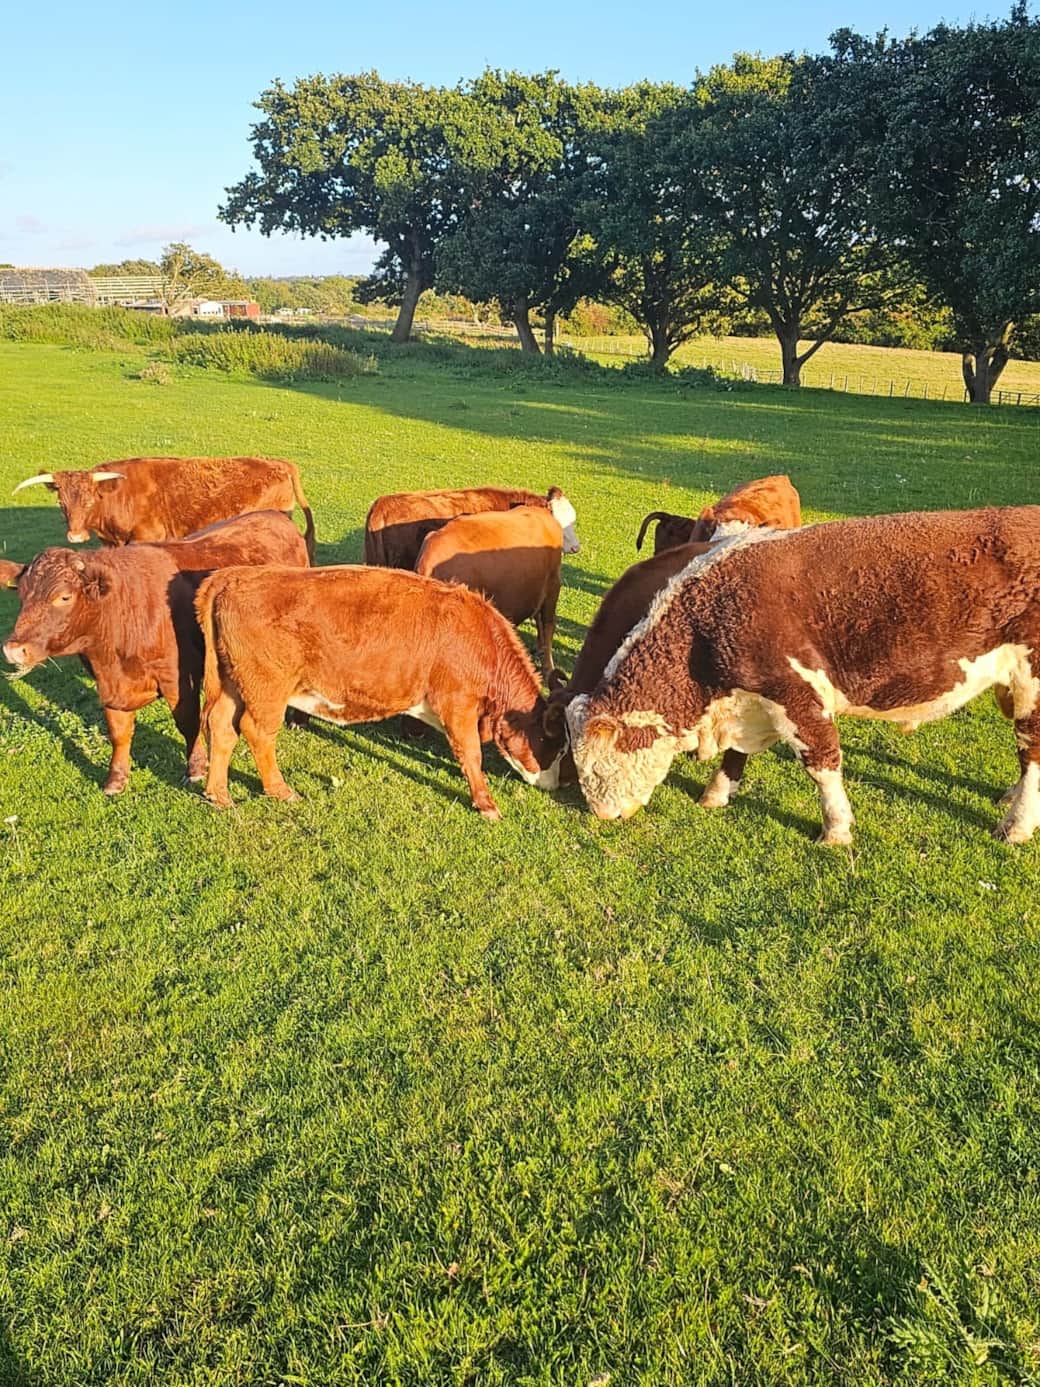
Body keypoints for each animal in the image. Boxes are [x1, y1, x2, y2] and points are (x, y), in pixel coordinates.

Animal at [1, 511, 309, 794]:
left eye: (64, 596)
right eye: (22, 595)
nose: (14, 649)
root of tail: (275, 516)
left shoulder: (178, 678)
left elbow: (187, 722)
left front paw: (195, 768)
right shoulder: (108, 684)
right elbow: (119, 731)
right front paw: (116, 778)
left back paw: (298, 719)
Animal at [195, 565, 567, 818]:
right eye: (557, 746)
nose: (555, 787)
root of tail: (234, 575)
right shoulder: (458, 704)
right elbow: (471, 754)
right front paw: (486, 804)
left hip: (232, 684)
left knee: (221, 726)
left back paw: (218, 794)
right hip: (267, 688)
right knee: (257, 732)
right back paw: (279, 790)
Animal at [566, 508, 1040, 845]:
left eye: (599, 769)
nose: (604, 816)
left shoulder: (795, 693)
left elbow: (822, 763)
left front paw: (836, 830)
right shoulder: (749, 696)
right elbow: (735, 755)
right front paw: (715, 794)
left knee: (1031, 751)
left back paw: (1016, 825)